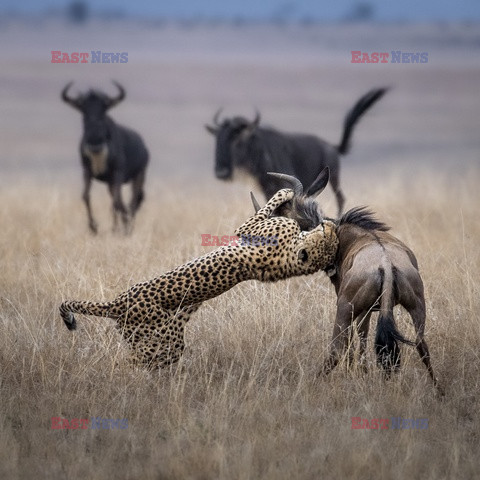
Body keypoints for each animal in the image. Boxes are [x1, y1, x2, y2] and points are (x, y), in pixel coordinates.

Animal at [60, 189, 338, 370]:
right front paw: (289, 193)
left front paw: (287, 191)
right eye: (328, 236)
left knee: (134, 360)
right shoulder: (249, 230)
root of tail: (115, 304)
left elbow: (273, 200)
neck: (294, 257)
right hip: (155, 335)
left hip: (165, 339)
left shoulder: (246, 229)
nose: (331, 225)